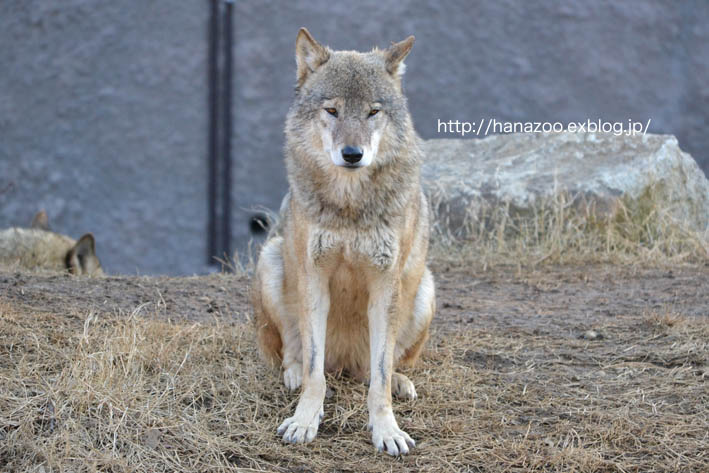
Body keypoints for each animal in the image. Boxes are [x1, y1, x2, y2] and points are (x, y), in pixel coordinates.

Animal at [252, 28, 434, 454]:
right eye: (332, 111)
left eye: (372, 112)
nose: (353, 154)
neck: (350, 207)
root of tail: (345, 363)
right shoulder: (314, 277)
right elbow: (315, 370)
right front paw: (304, 420)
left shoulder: (385, 284)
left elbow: (380, 376)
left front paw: (387, 430)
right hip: (271, 260)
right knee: (294, 352)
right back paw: (293, 374)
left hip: (424, 290)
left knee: (378, 369)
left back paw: (399, 381)